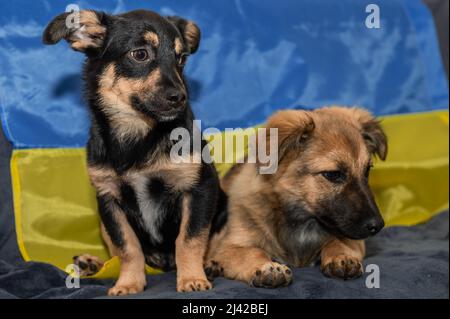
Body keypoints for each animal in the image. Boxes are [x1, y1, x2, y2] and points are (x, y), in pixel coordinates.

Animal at [43, 8, 225, 296]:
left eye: (181, 58)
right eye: (140, 54)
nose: (180, 97)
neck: (138, 133)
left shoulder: (201, 187)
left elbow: (190, 238)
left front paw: (192, 279)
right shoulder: (108, 198)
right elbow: (127, 247)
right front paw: (128, 283)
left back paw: (211, 264)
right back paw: (93, 264)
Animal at [207, 108, 386, 290]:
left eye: (367, 171)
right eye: (333, 174)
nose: (377, 226)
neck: (302, 222)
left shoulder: (352, 236)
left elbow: (339, 242)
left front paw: (341, 256)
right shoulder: (229, 247)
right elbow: (252, 252)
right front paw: (267, 267)